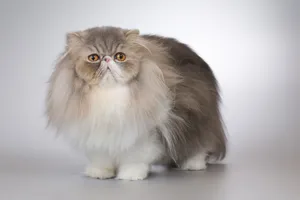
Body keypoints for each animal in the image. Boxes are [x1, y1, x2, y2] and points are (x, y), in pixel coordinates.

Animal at [45, 25, 226, 180]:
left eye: (120, 56)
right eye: (94, 58)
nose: (107, 59)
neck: (109, 95)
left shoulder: (142, 134)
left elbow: (134, 158)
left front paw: (131, 175)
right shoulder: (98, 135)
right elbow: (101, 159)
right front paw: (100, 173)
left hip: (197, 120)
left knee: (200, 145)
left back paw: (193, 165)